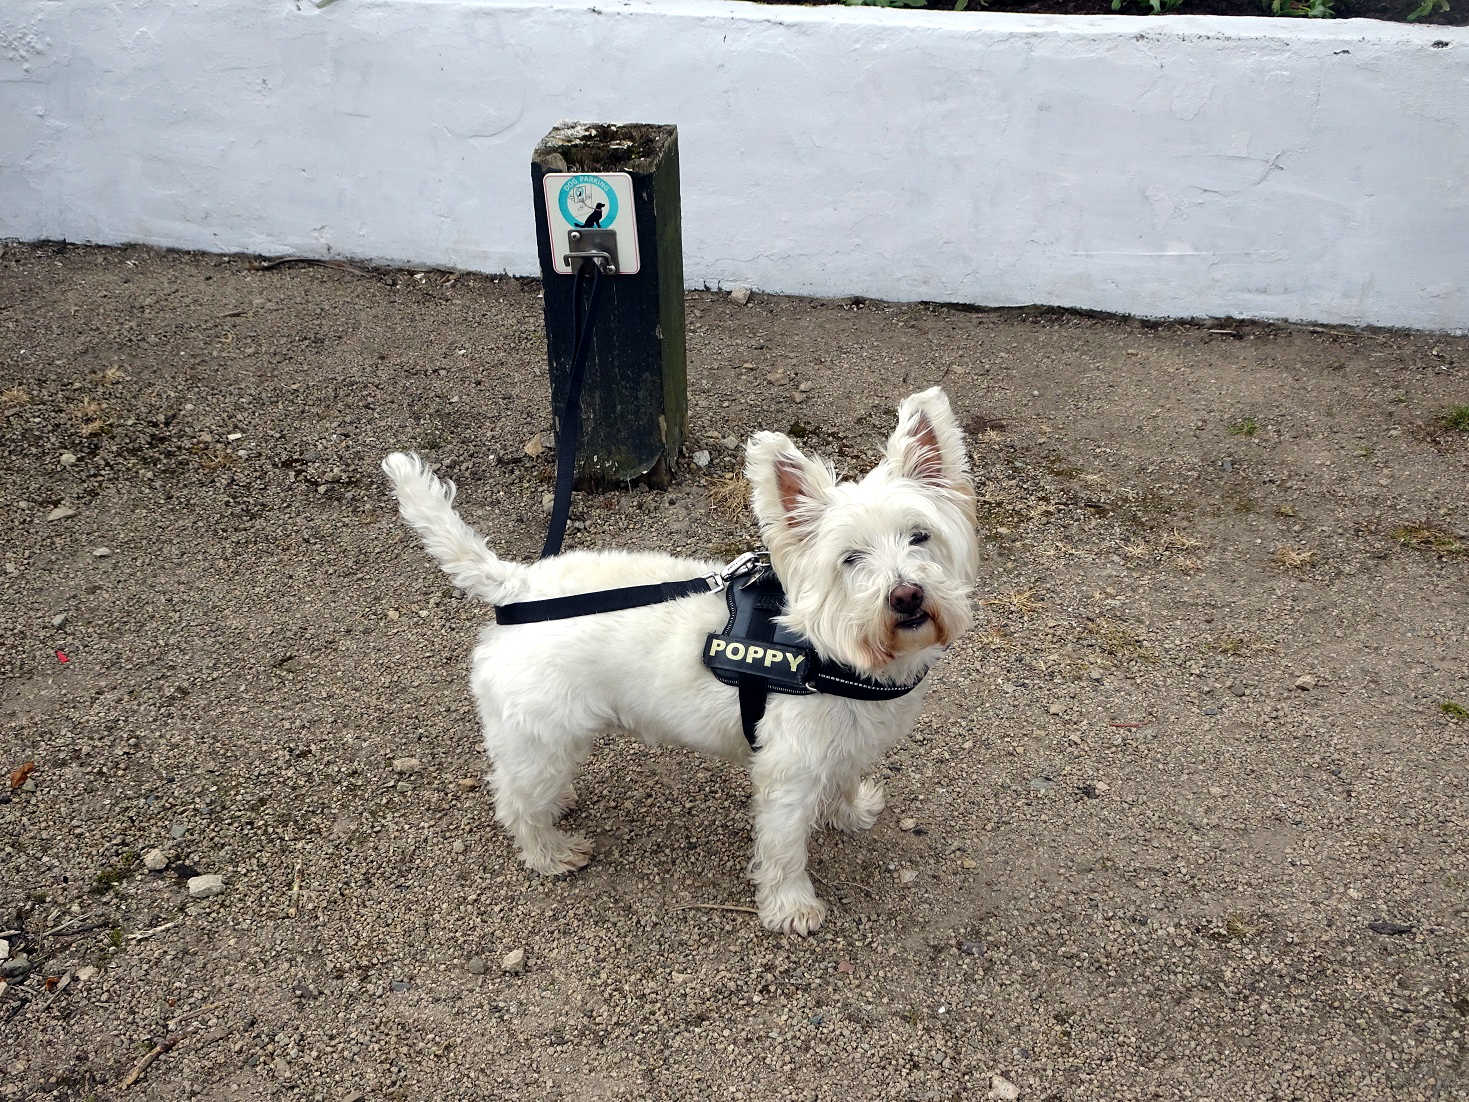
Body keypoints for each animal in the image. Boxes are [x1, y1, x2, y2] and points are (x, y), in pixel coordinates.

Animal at [381, 384, 975, 934]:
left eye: (919, 536)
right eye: (850, 558)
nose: (906, 596)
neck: (833, 648)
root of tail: (519, 587)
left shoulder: (845, 744)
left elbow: (846, 779)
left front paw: (851, 811)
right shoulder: (788, 772)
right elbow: (784, 848)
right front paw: (791, 908)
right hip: (539, 739)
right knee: (515, 802)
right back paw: (552, 852)